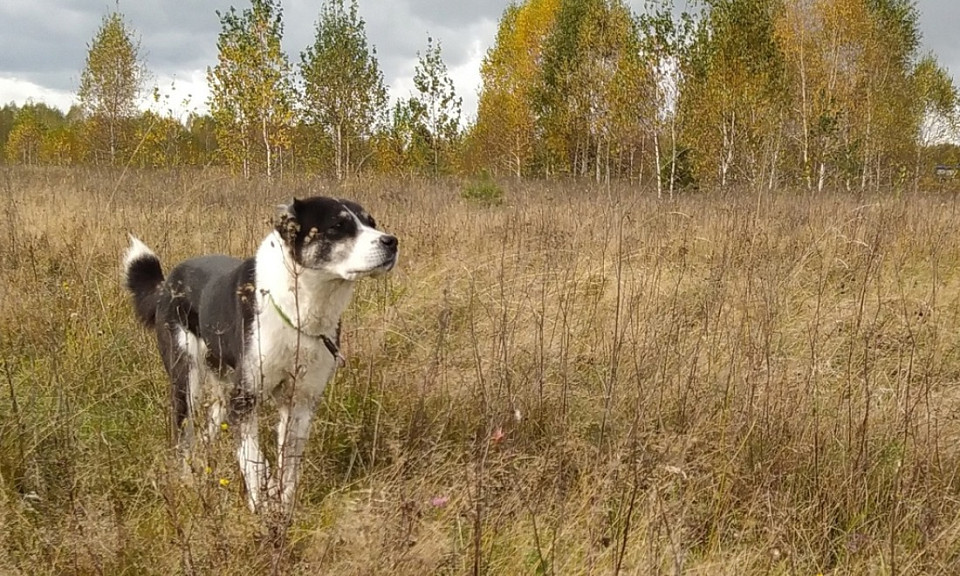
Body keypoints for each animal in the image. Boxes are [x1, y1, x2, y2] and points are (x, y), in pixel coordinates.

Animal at [123, 197, 398, 512]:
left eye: (371, 223)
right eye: (338, 226)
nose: (392, 242)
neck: (299, 307)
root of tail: (167, 282)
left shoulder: (299, 402)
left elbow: (289, 467)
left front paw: (284, 510)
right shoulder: (244, 399)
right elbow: (253, 460)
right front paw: (260, 508)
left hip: (224, 382)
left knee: (211, 422)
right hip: (186, 380)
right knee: (183, 434)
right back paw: (187, 480)